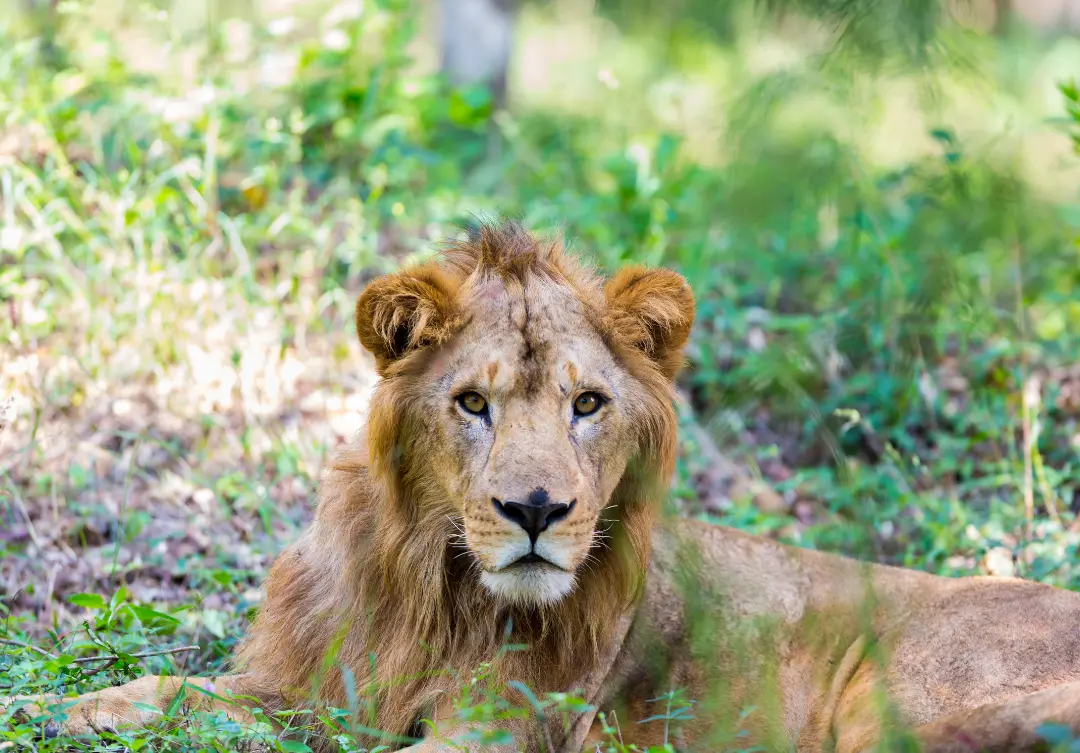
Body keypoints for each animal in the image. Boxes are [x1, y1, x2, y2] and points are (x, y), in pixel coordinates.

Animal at [7, 221, 1080, 753]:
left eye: (588, 403)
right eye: (473, 402)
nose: (536, 511)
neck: (432, 584)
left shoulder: (502, 730)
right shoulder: (304, 688)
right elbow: (171, 691)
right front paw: (57, 712)